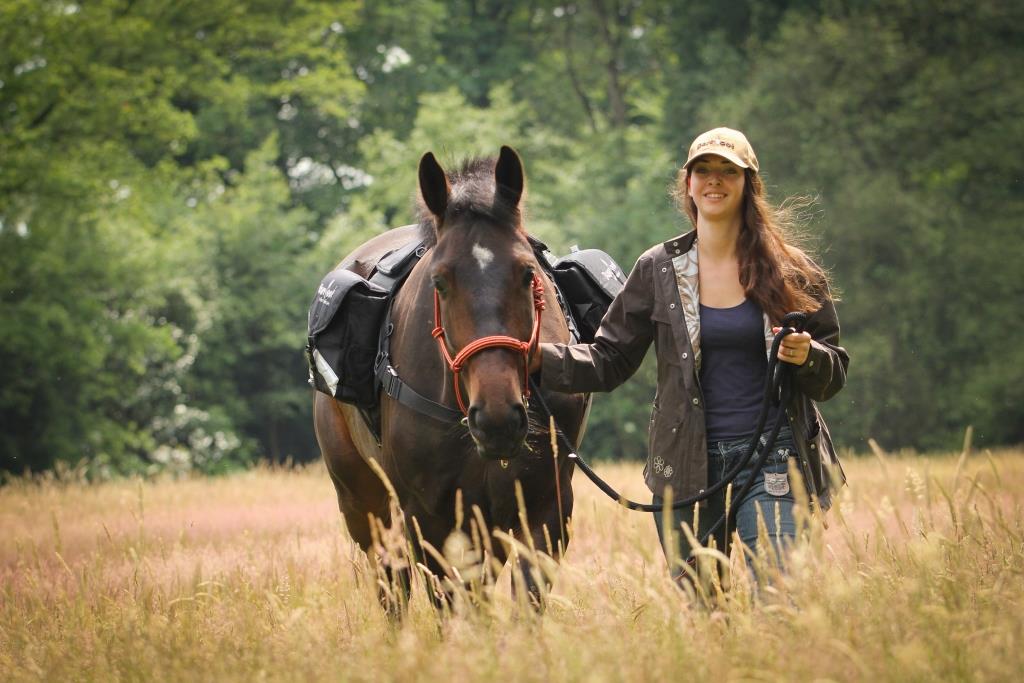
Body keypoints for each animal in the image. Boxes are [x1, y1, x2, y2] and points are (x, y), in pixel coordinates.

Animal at [311, 145, 589, 610]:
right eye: (439, 282)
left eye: (527, 273)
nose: (497, 419)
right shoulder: (429, 517)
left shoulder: (545, 509)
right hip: (362, 503)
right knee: (392, 584)